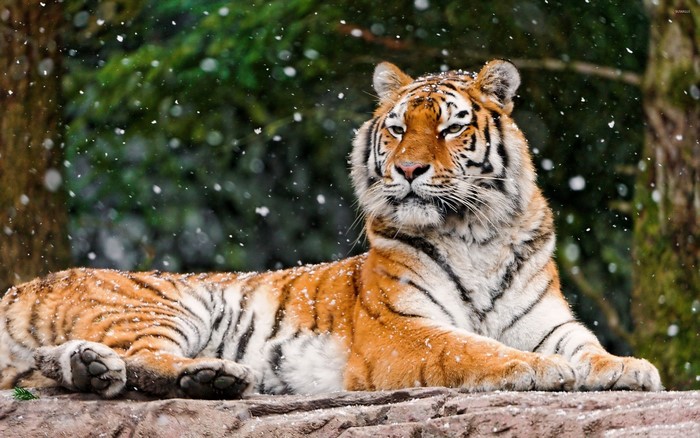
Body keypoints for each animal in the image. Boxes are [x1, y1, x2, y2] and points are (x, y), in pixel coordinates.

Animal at [0, 60, 662, 399]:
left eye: (451, 128)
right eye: (397, 128)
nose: (409, 170)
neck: (476, 233)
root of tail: (22, 285)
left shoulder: (547, 320)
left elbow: (586, 345)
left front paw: (629, 367)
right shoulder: (401, 328)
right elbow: (470, 347)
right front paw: (537, 369)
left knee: (78, 364)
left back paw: (100, 370)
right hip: (160, 304)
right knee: (143, 360)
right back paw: (211, 375)